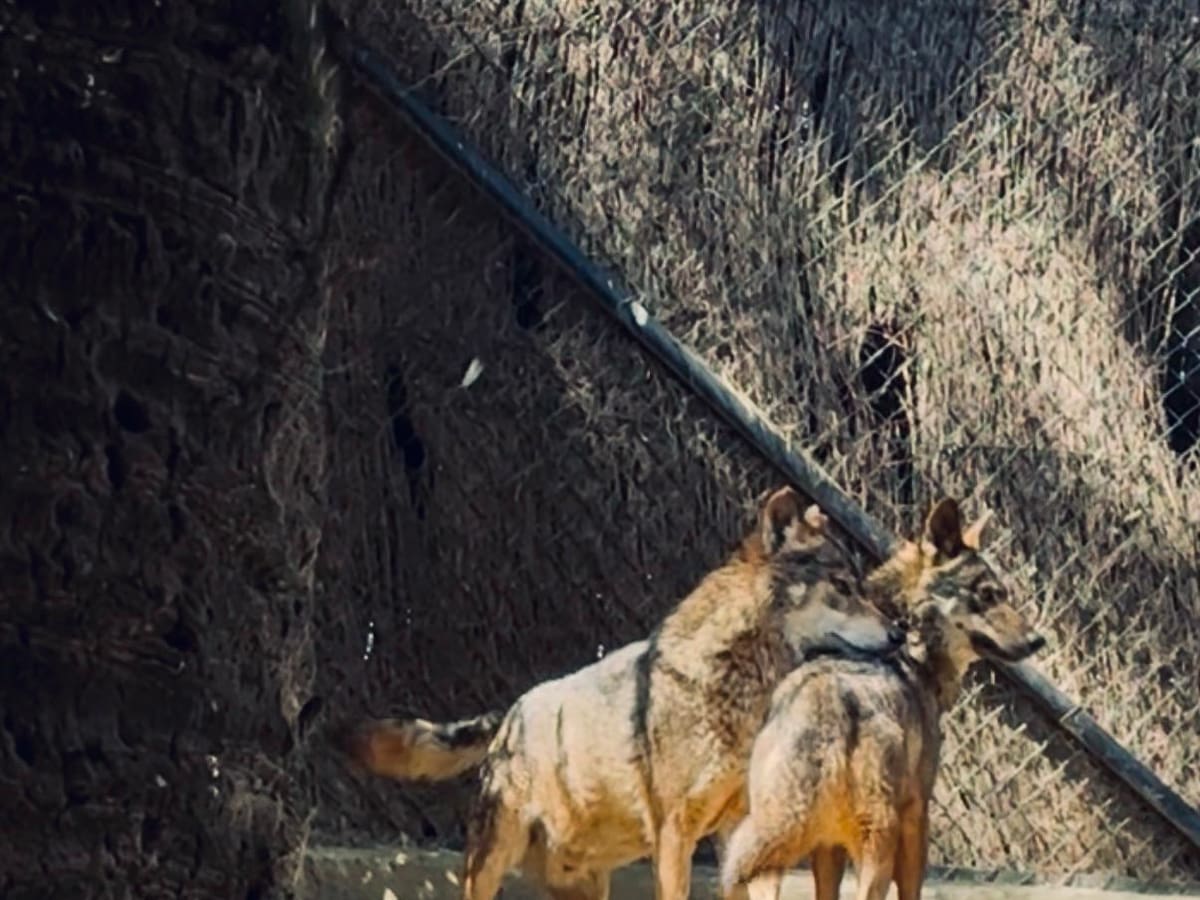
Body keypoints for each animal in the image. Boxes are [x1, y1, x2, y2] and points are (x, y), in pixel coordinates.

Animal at [342, 487, 906, 900]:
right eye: (843, 586)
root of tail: (511, 714)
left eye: (862, 585)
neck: (739, 681)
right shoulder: (675, 834)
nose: (900, 633)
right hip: (489, 865)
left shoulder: (740, 832)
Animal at [719, 497, 1047, 900]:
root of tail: (825, 704)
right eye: (986, 595)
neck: (912, 645)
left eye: (1004, 595)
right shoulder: (917, 816)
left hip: (771, 859)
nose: (1037, 641)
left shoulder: (827, 848)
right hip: (877, 849)